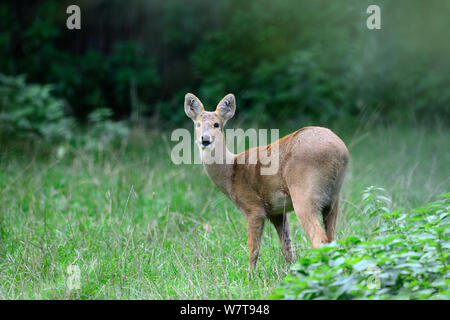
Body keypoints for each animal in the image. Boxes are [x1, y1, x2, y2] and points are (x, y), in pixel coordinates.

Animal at [185, 92, 350, 270]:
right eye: (198, 124)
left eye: (216, 124)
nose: (205, 139)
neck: (231, 172)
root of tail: (341, 151)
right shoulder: (276, 212)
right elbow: (287, 248)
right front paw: (290, 271)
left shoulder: (253, 207)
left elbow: (253, 249)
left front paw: (250, 275)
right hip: (333, 199)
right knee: (333, 240)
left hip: (304, 193)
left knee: (320, 240)